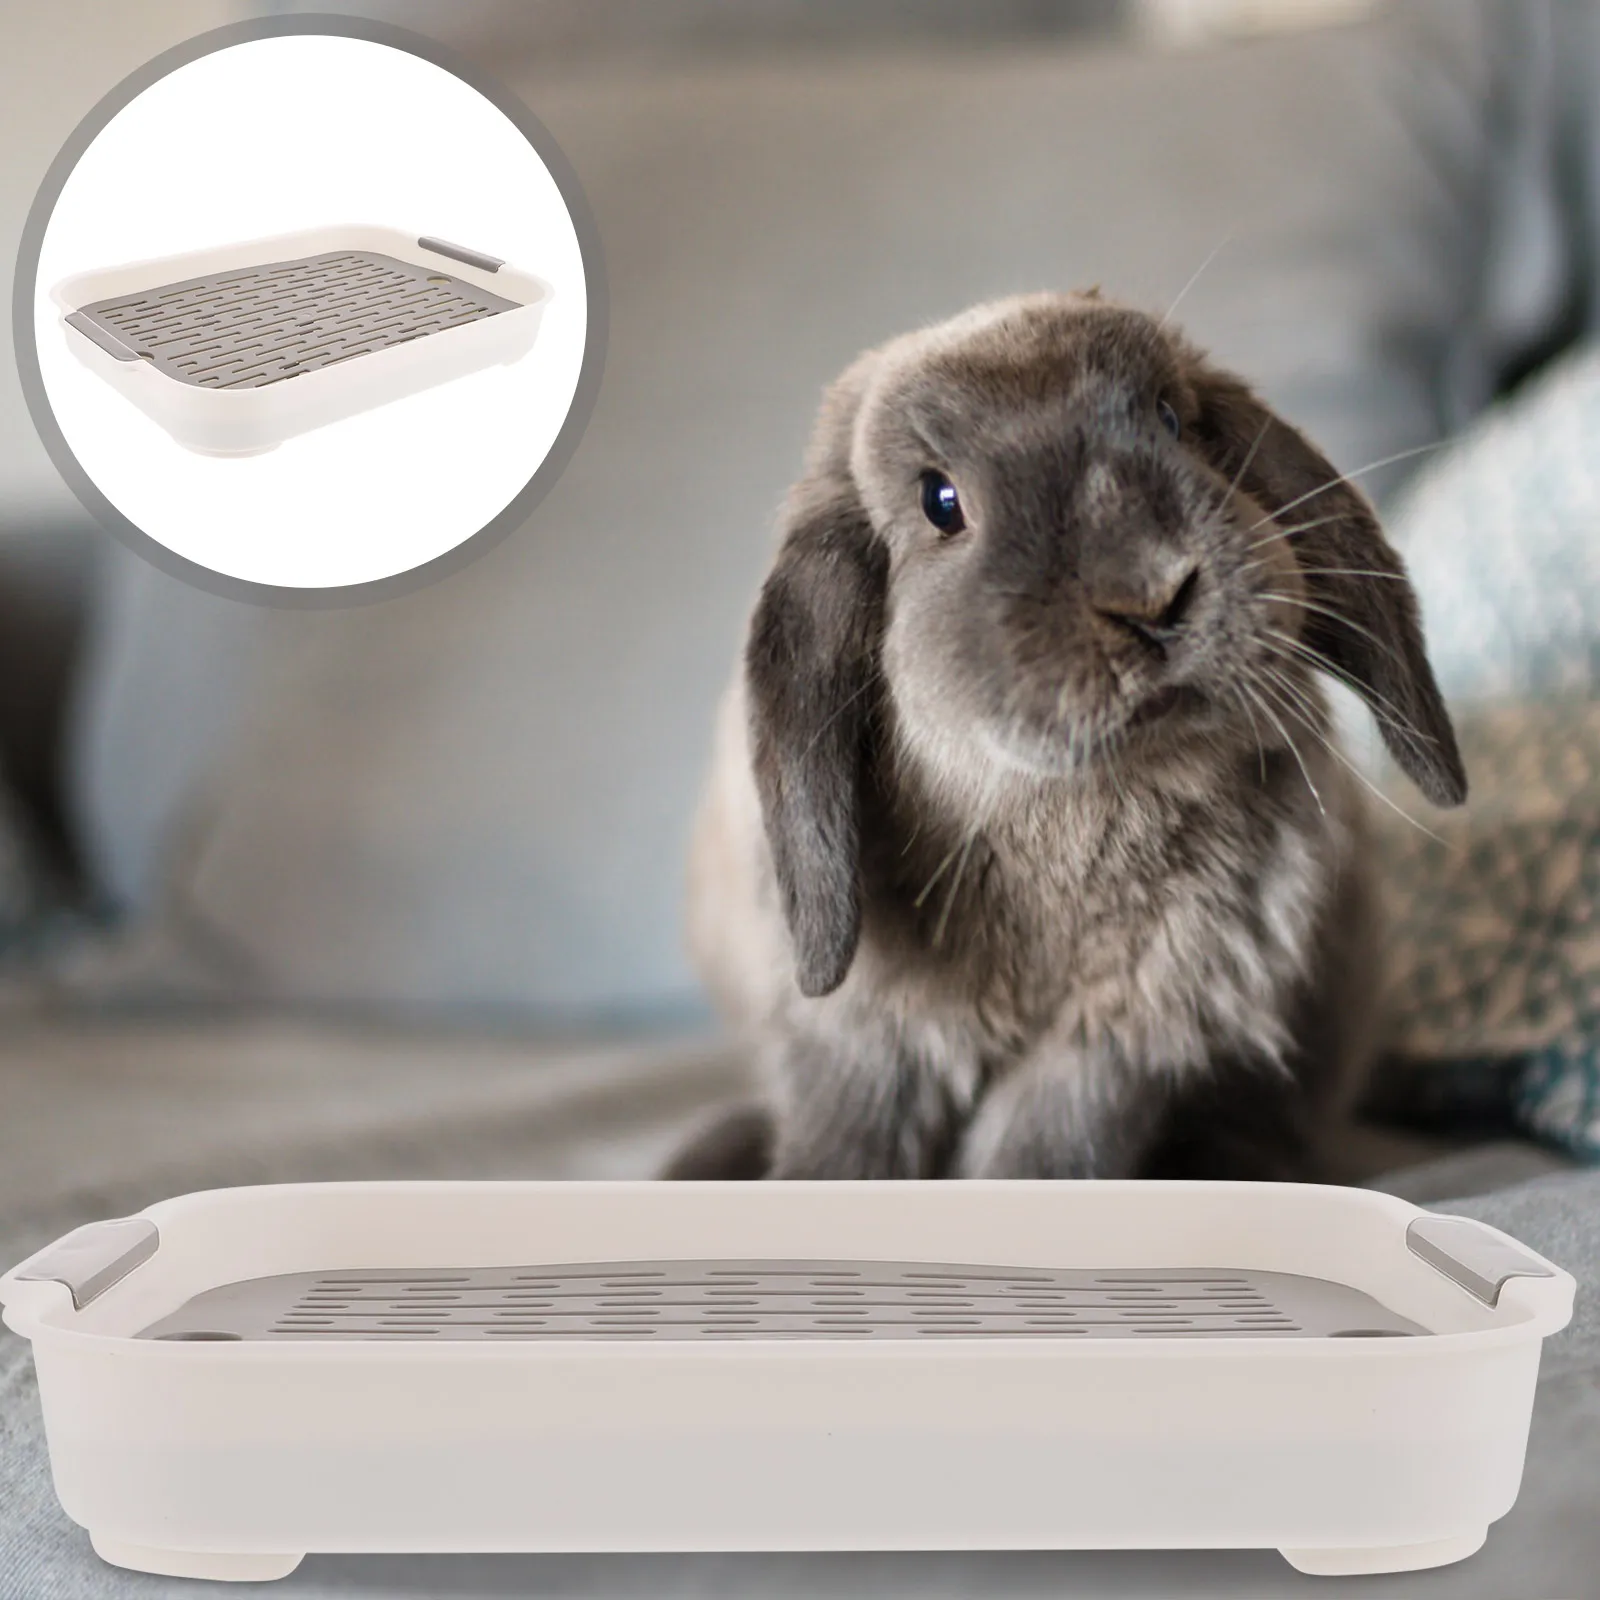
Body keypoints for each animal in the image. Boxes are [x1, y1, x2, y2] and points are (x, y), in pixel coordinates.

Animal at [665, 291, 1465, 1183]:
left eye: (1170, 420)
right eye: (939, 502)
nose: (1152, 595)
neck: (1072, 810)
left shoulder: (1119, 1040)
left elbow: (1044, 1149)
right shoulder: (865, 1042)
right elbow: (849, 1139)